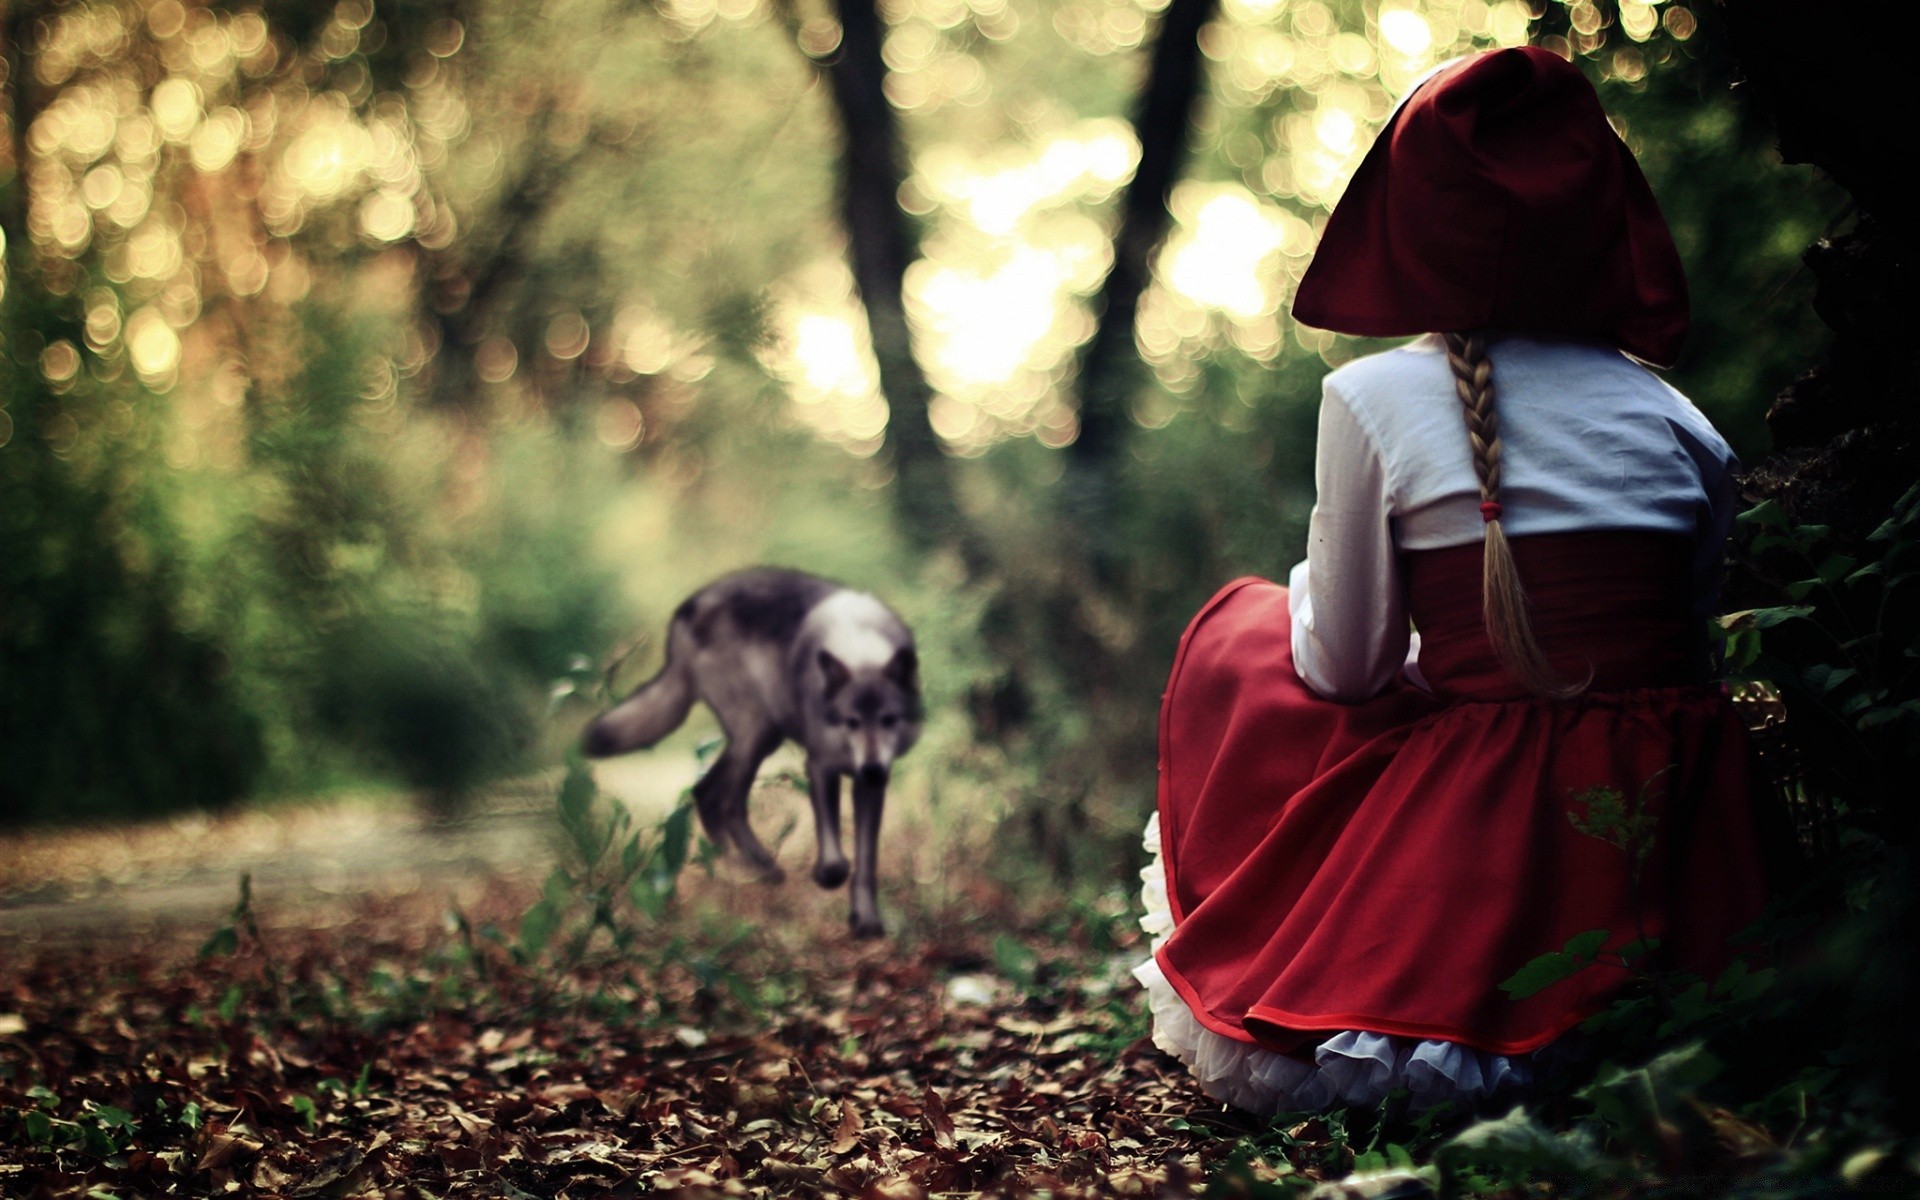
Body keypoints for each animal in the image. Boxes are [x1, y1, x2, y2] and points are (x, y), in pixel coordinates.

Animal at [576, 568, 921, 936]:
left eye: (889, 720)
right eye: (851, 722)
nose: (871, 769)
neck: (860, 650)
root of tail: (690, 605)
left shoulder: (870, 785)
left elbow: (866, 861)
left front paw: (867, 921)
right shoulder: (820, 765)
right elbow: (834, 856)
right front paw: (827, 876)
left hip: (762, 739)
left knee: (712, 794)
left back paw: (742, 870)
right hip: (757, 735)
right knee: (717, 797)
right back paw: (747, 870)